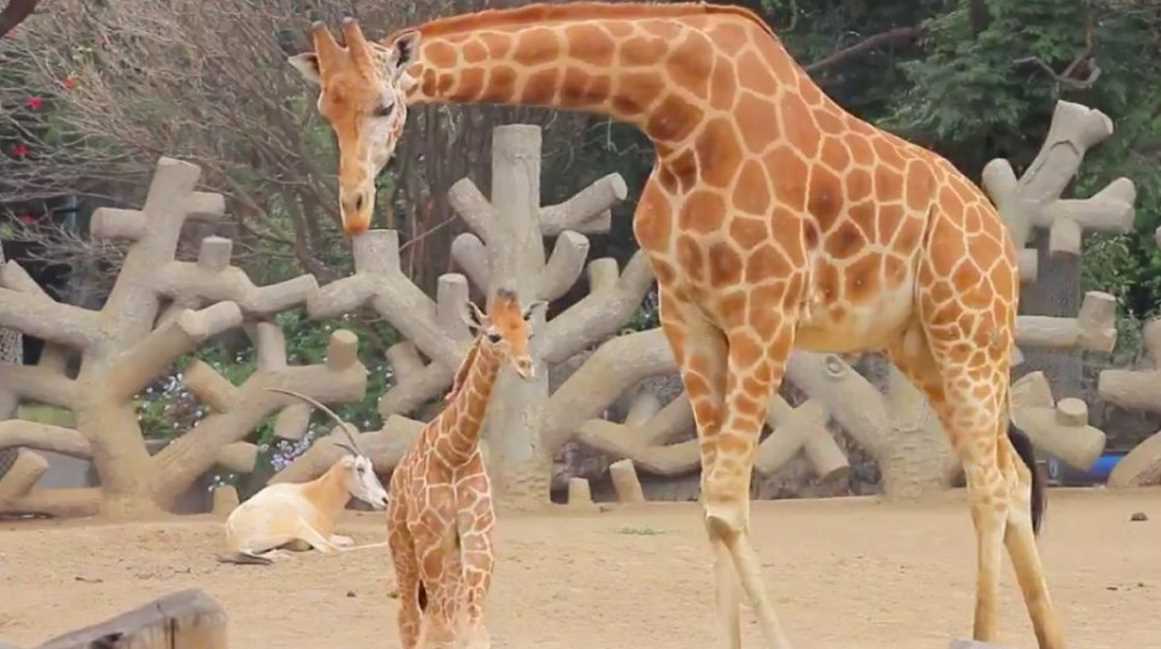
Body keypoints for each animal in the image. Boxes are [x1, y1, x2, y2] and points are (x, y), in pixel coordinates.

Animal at [387, 288, 544, 649]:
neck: (455, 452)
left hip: (450, 557)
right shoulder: (430, 539)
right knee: (410, 617)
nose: (526, 367)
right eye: (494, 335)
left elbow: (473, 625)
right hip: (403, 546)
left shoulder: (477, 536)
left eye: (529, 334)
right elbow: (439, 629)